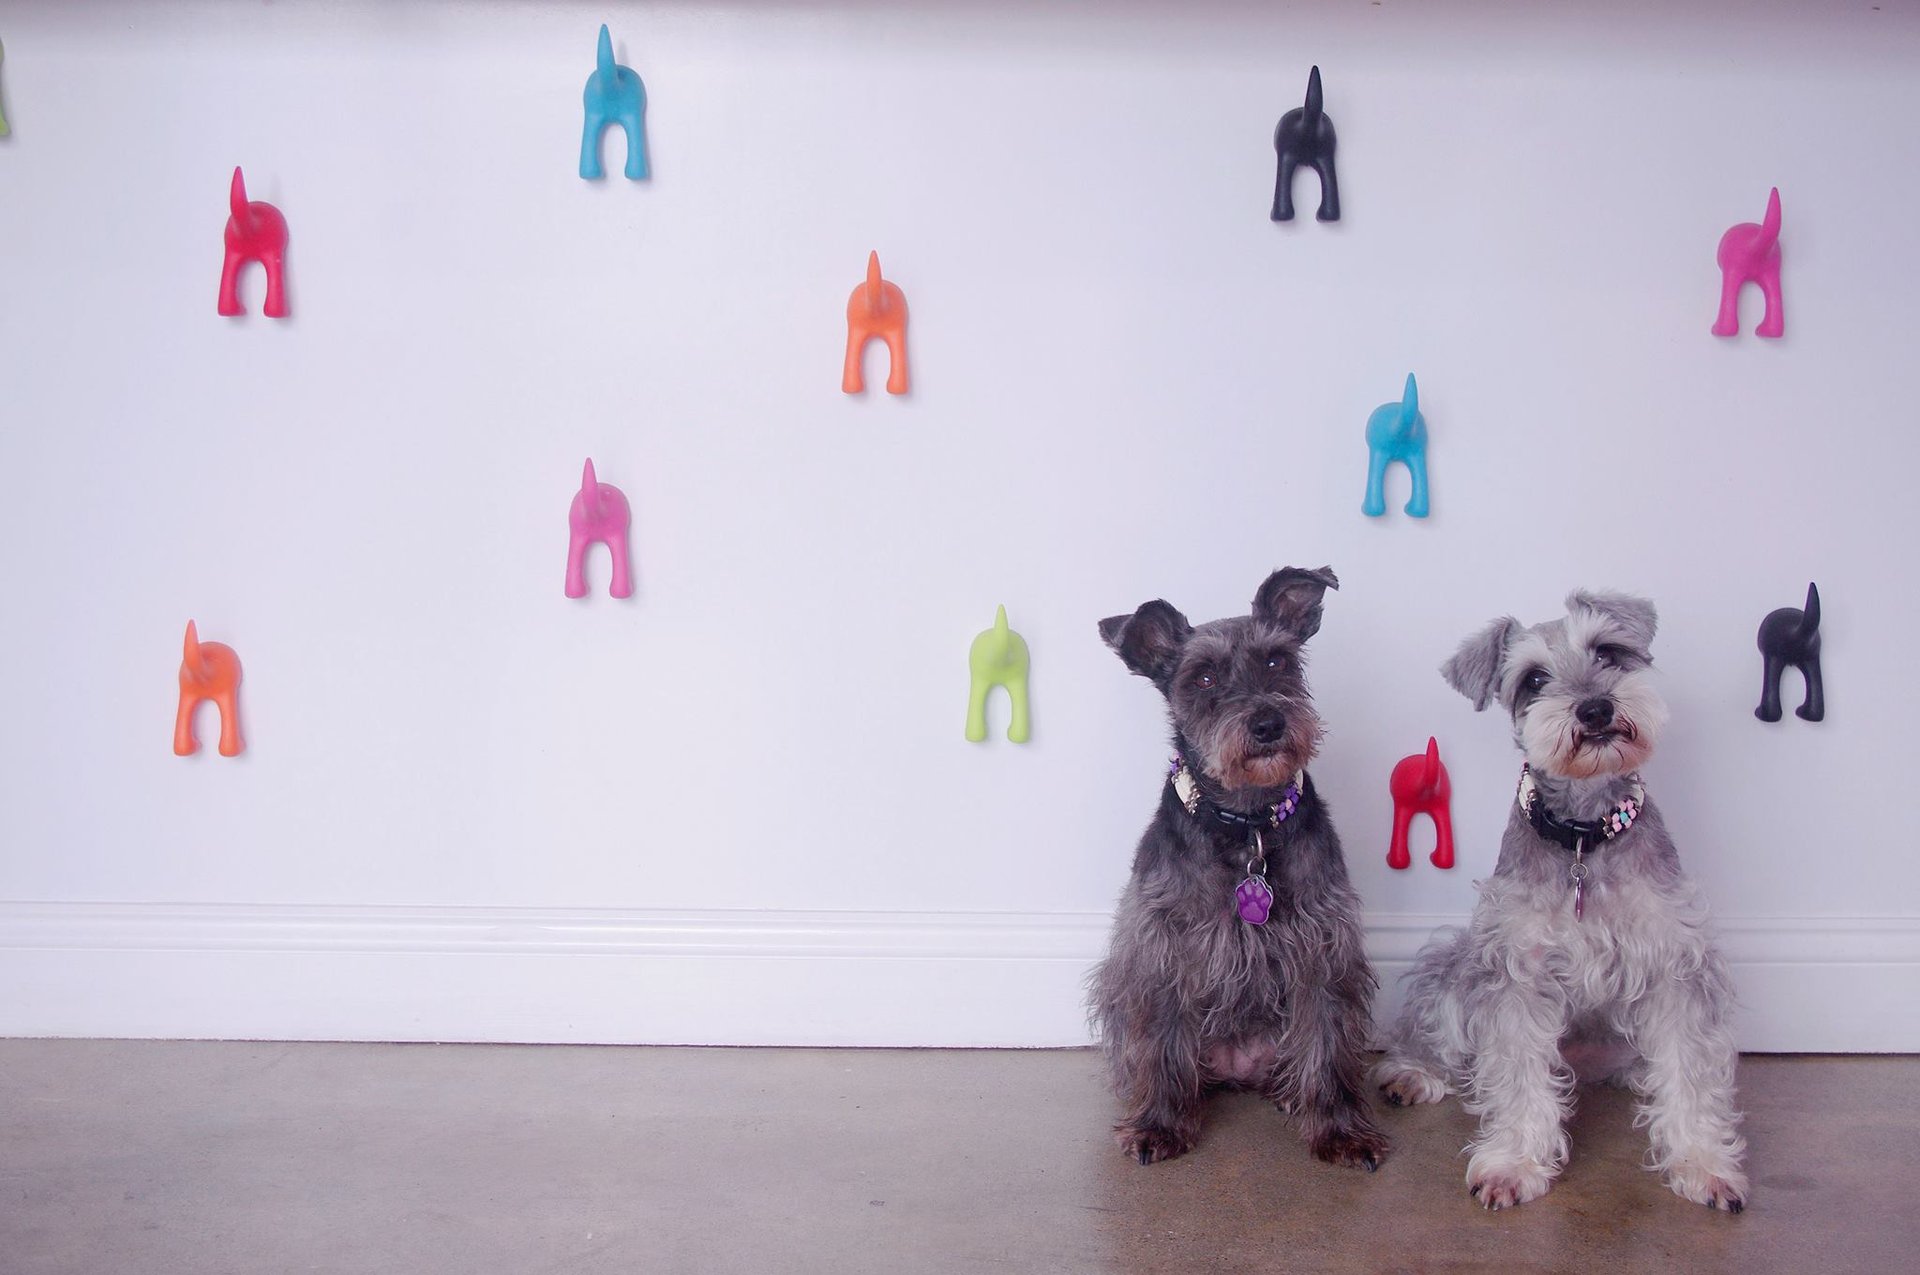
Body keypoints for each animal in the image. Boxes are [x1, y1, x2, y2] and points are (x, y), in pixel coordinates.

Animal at [1089, 567, 1388, 1170]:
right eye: (1203, 677)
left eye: (1277, 660)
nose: (1269, 723)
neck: (1246, 824)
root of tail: (1238, 1069)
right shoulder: (1164, 946)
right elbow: (1164, 1039)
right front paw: (1160, 1123)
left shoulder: (1323, 947)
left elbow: (1326, 1044)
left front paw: (1340, 1129)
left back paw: (1292, 1095)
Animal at [1375, 590, 1747, 1212]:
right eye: (1534, 679)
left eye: (1608, 651)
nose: (1594, 709)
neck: (1583, 833)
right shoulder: (1516, 971)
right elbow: (1518, 1074)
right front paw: (1514, 1163)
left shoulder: (1676, 966)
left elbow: (1689, 1070)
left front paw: (1702, 1162)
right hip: (1457, 968)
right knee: (1439, 1034)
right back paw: (1413, 1073)